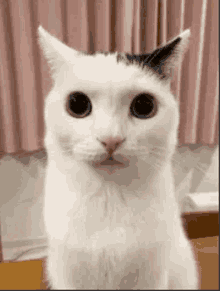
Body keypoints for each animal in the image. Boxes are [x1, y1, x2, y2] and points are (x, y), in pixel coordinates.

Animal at [38, 25, 199, 290]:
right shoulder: (67, 273)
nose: (110, 139)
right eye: (77, 103)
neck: (110, 196)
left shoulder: (152, 276)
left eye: (144, 105)